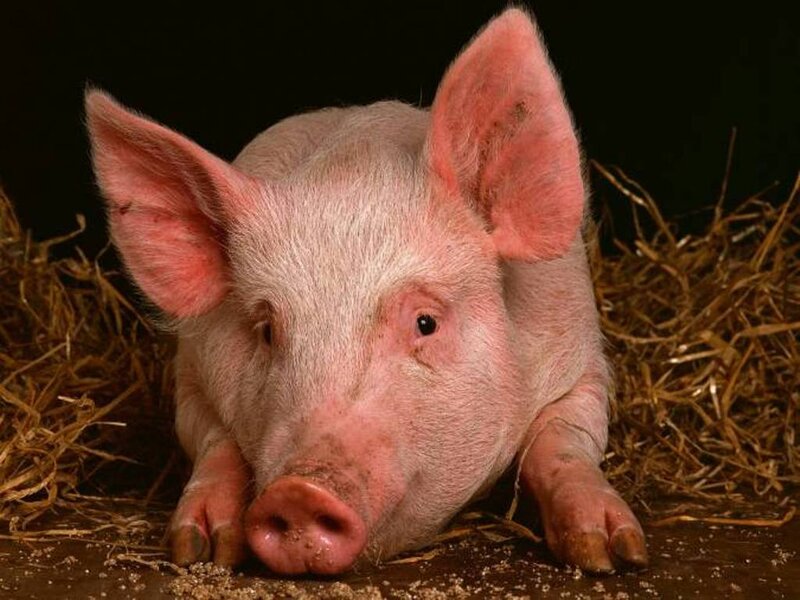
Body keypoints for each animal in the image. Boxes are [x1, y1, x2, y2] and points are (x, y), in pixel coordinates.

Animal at [85, 8, 647, 575]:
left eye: (425, 322)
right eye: (266, 331)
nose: (299, 491)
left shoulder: (583, 362)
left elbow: (561, 441)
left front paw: (613, 552)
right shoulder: (189, 376)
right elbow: (215, 443)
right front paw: (198, 549)